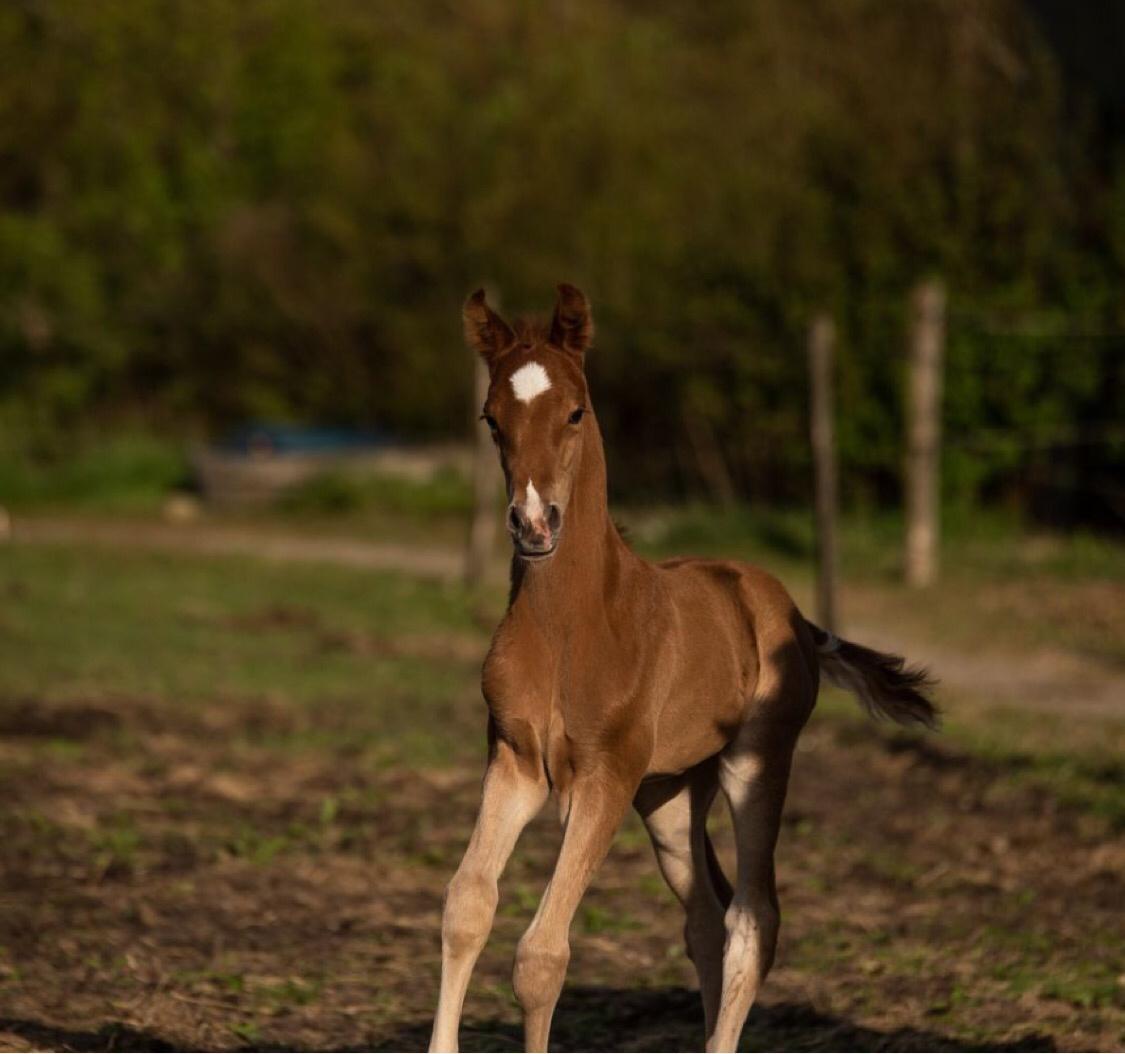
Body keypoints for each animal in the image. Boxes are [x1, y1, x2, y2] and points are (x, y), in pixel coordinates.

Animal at [425, 283, 936, 1048]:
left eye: (574, 411)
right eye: (491, 419)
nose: (533, 524)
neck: (573, 627)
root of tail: (796, 616)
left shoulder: (605, 775)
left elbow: (542, 953)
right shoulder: (513, 762)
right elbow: (466, 907)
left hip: (755, 761)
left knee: (752, 918)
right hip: (668, 792)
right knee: (704, 916)